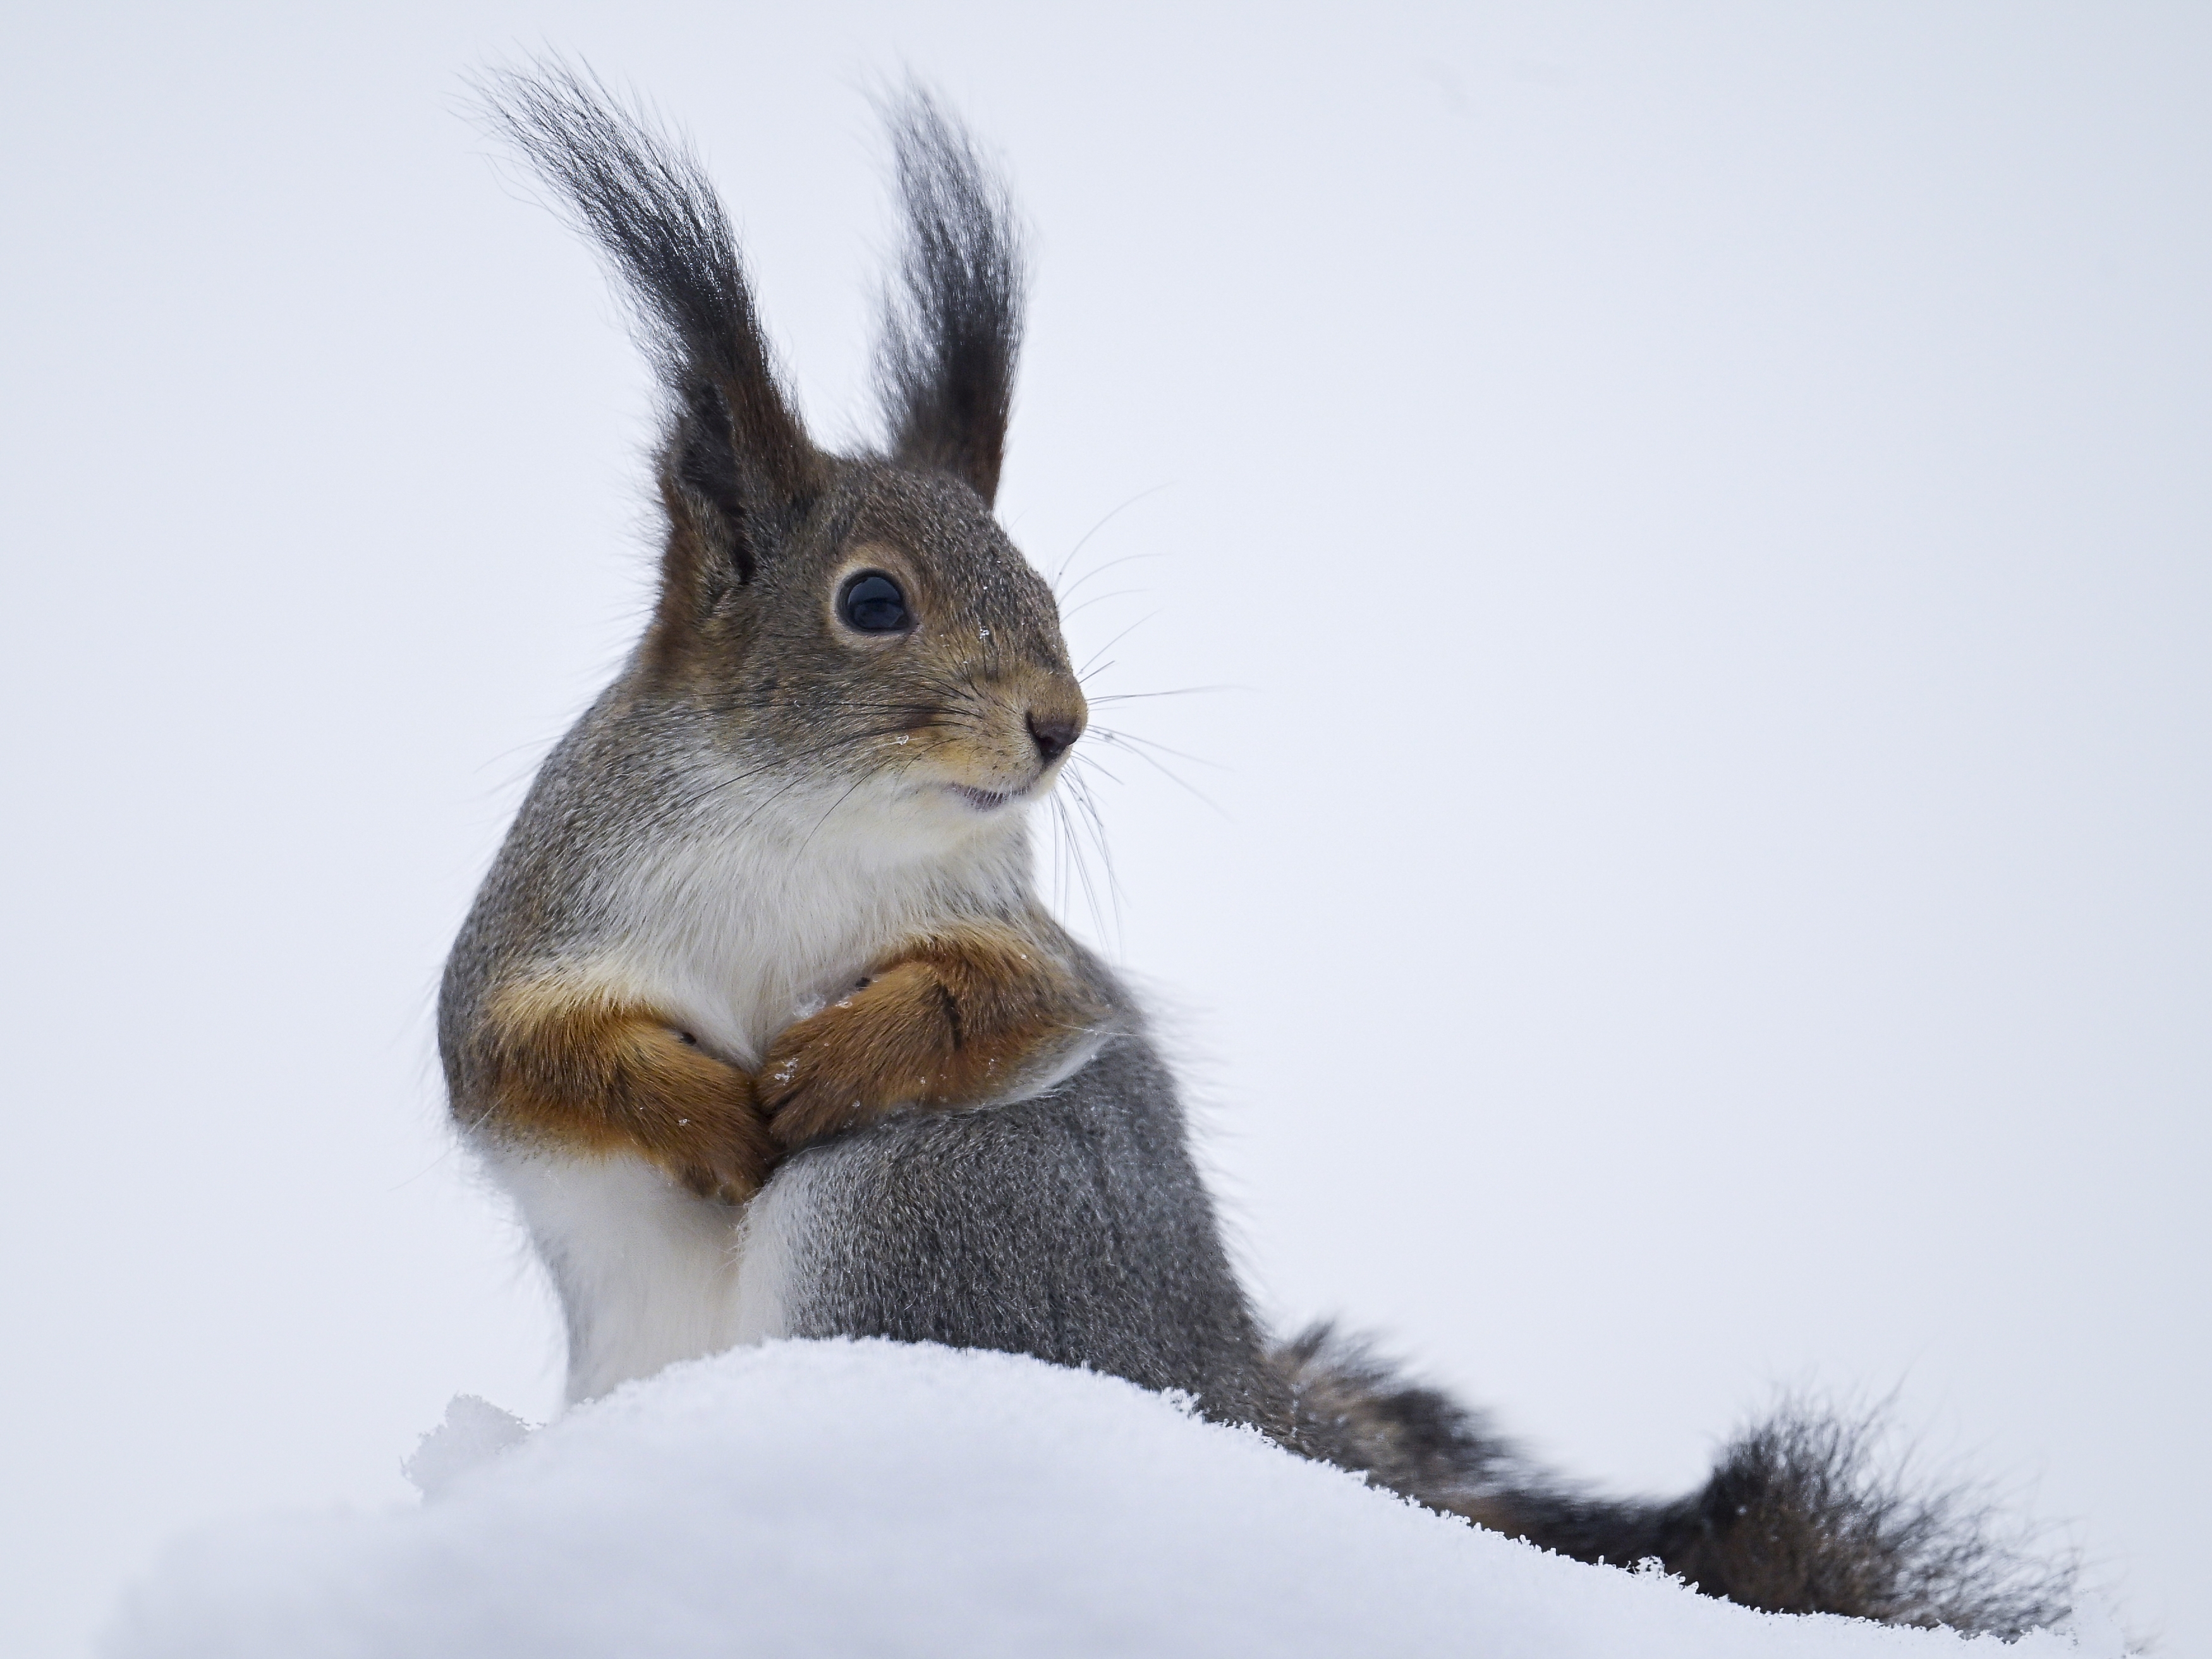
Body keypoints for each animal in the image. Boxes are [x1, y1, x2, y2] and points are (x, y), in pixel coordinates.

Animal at [444, 68, 2070, 1637]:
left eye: (1042, 584)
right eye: (873, 603)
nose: (1060, 725)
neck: (807, 818)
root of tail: (1226, 1388)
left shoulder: (1021, 935)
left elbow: (1022, 1010)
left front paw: (830, 1065)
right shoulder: (546, 919)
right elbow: (518, 1062)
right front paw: (706, 1112)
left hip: (920, 1198)